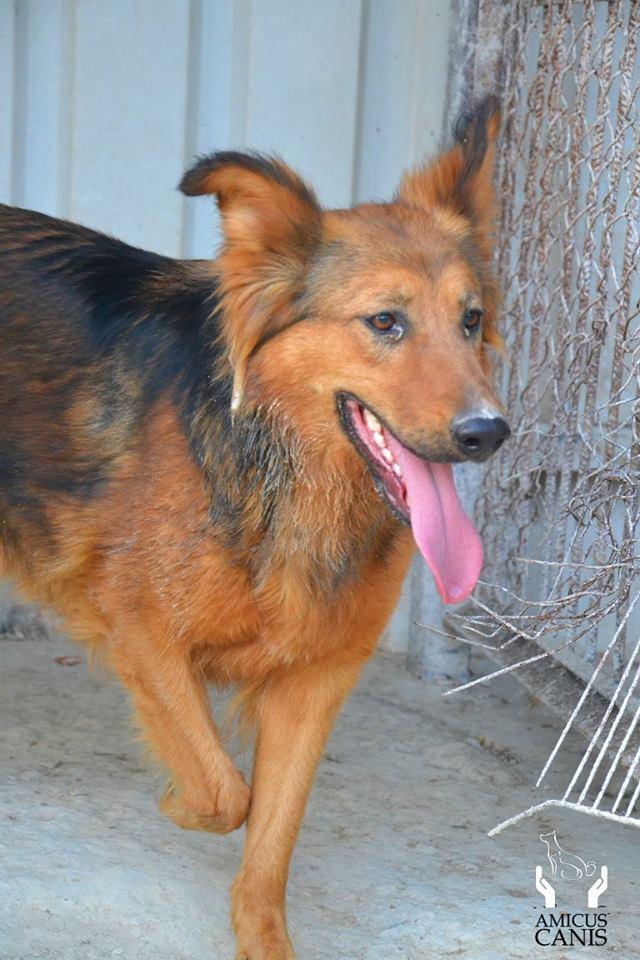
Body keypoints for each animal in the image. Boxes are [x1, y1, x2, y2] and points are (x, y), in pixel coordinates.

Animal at [0, 96, 508, 959]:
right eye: (385, 322)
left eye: (472, 321)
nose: (489, 433)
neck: (286, 480)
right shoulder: (137, 629)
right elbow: (222, 790)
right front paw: (175, 801)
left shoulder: (315, 681)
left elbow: (268, 842)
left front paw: (261, 937)